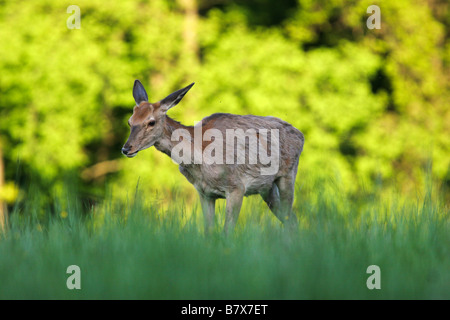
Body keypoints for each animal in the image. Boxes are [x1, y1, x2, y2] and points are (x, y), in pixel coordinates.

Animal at [121, 80, 304, 235]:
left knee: (291, 219)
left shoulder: (237, 187)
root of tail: (300, 134)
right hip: (267, 188)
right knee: (291, 220)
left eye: (151, 122)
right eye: (130, 122)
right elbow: (208, 232)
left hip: (288, 174)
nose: (126, 148)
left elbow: (227, 233)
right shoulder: (204, 193)